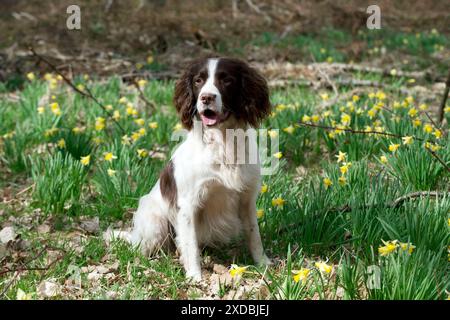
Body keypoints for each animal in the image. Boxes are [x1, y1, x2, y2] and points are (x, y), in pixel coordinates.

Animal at [112, 57, 274, 280]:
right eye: (198, 80)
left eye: (227, 80)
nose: (206, 97)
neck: (223, 143)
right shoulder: (188, 205)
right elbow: (191, 244)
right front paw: (195, 276)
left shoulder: (247, 199)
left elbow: (254, 234)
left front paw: (263, 263)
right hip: (155, 221)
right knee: (144, 247)